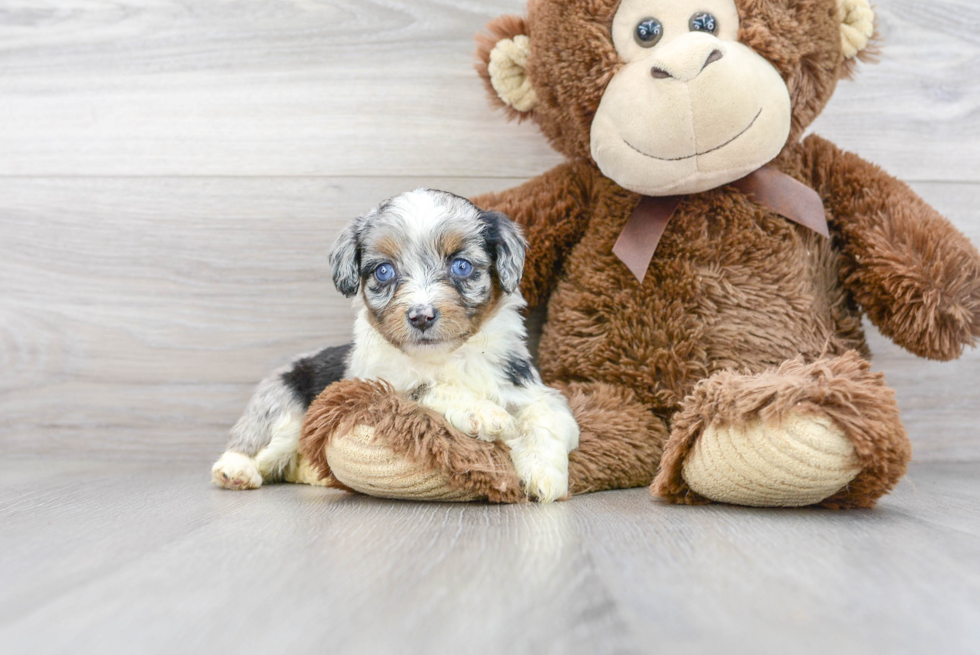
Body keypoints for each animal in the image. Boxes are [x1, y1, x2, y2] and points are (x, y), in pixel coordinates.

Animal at [211, 188, 580, 502]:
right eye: (384, 271)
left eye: (461, 266)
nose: (421, 316)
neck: (446, 356)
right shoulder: (380, 389)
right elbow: (427, 387)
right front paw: (484, 413)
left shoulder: (529, 388)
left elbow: (547, 417)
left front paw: (543, 475)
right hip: (285, 408)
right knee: (259, 445)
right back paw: (236, 469)